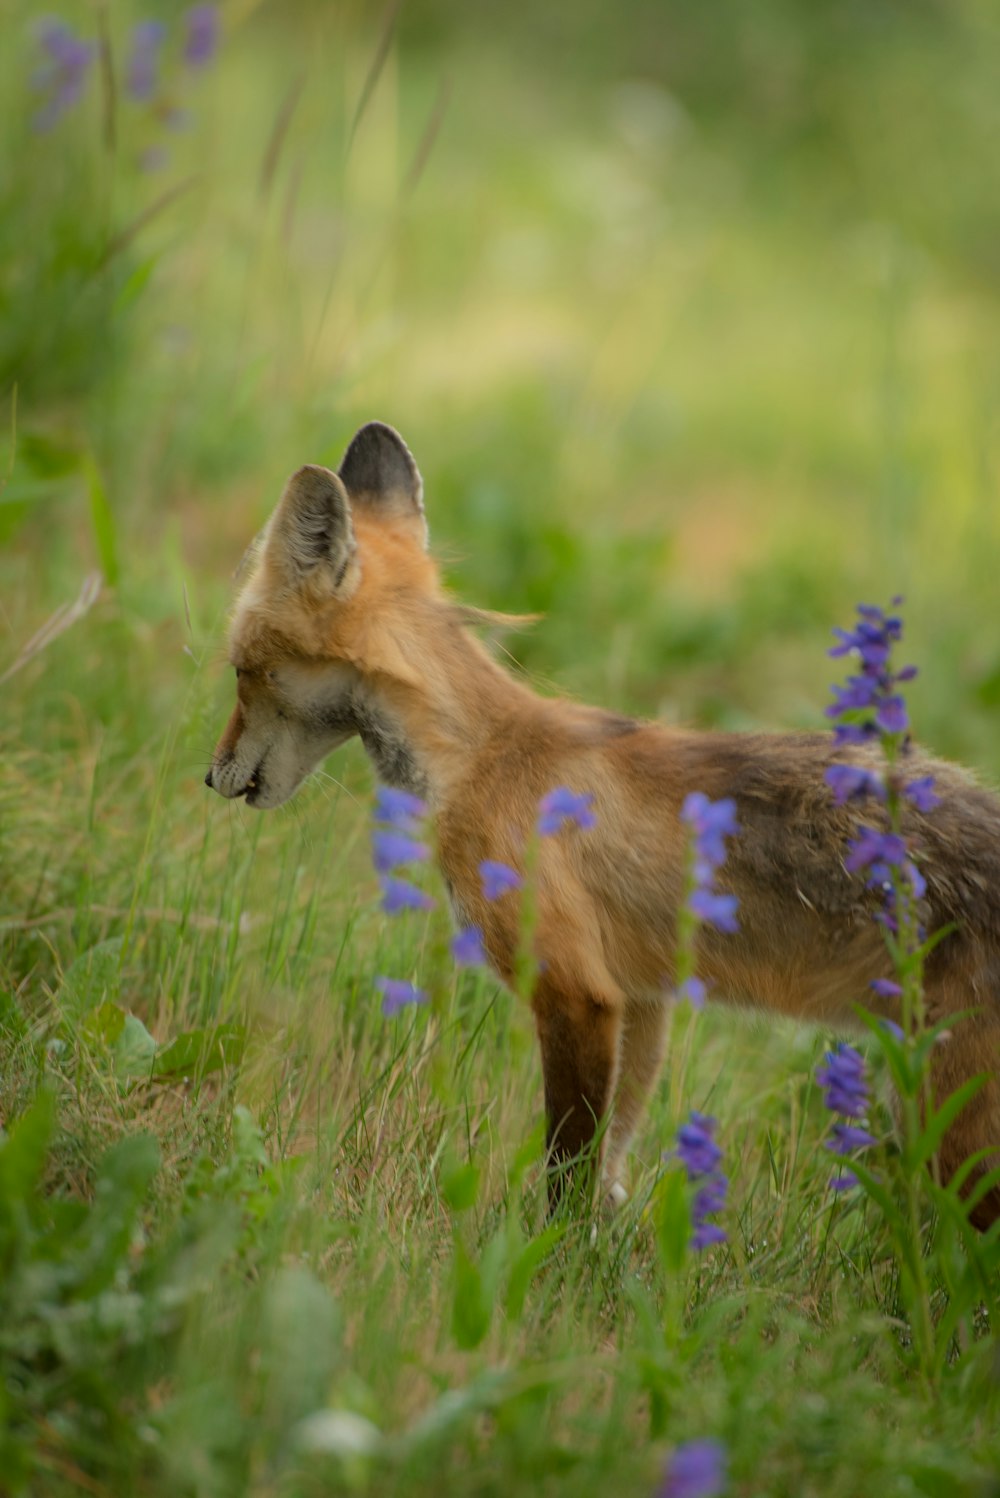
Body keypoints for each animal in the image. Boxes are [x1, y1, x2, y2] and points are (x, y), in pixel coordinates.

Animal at [209, 416, 999, 1222]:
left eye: (242, 670)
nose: (211, 776)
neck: (482, 754)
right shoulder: (644, 1001)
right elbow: (613, 1161)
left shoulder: (575, 991)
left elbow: (568, 1169)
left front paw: (541, 1244)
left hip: (955, 1137)